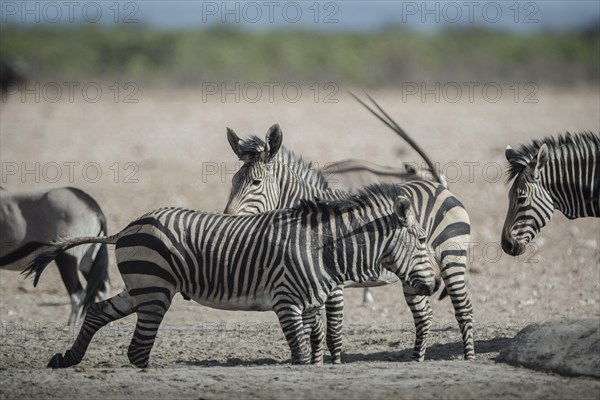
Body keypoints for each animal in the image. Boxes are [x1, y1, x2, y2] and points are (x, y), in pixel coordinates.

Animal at [24, 188, 436, 368]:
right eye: (421, 240)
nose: (432, 287)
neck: (321, 247)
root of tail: (124, 229)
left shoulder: (308, 304)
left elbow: (315, 349)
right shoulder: (287, 302)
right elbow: (301, 354)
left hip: (141, 286)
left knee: (98, 312)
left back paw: (67, 359)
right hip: (155, 289)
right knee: (137, 348)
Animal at [223, 124, 476, 362]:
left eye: (256, 182)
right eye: (233, 181)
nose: (228, 218)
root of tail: (440, 187)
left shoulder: (333, 285)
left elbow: (332, 333)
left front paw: (332, 364)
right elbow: (313, 332)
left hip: (451, 258)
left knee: (463, 309)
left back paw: (469, 358)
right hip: (413, 274)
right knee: (424, 316)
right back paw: (417, 361)